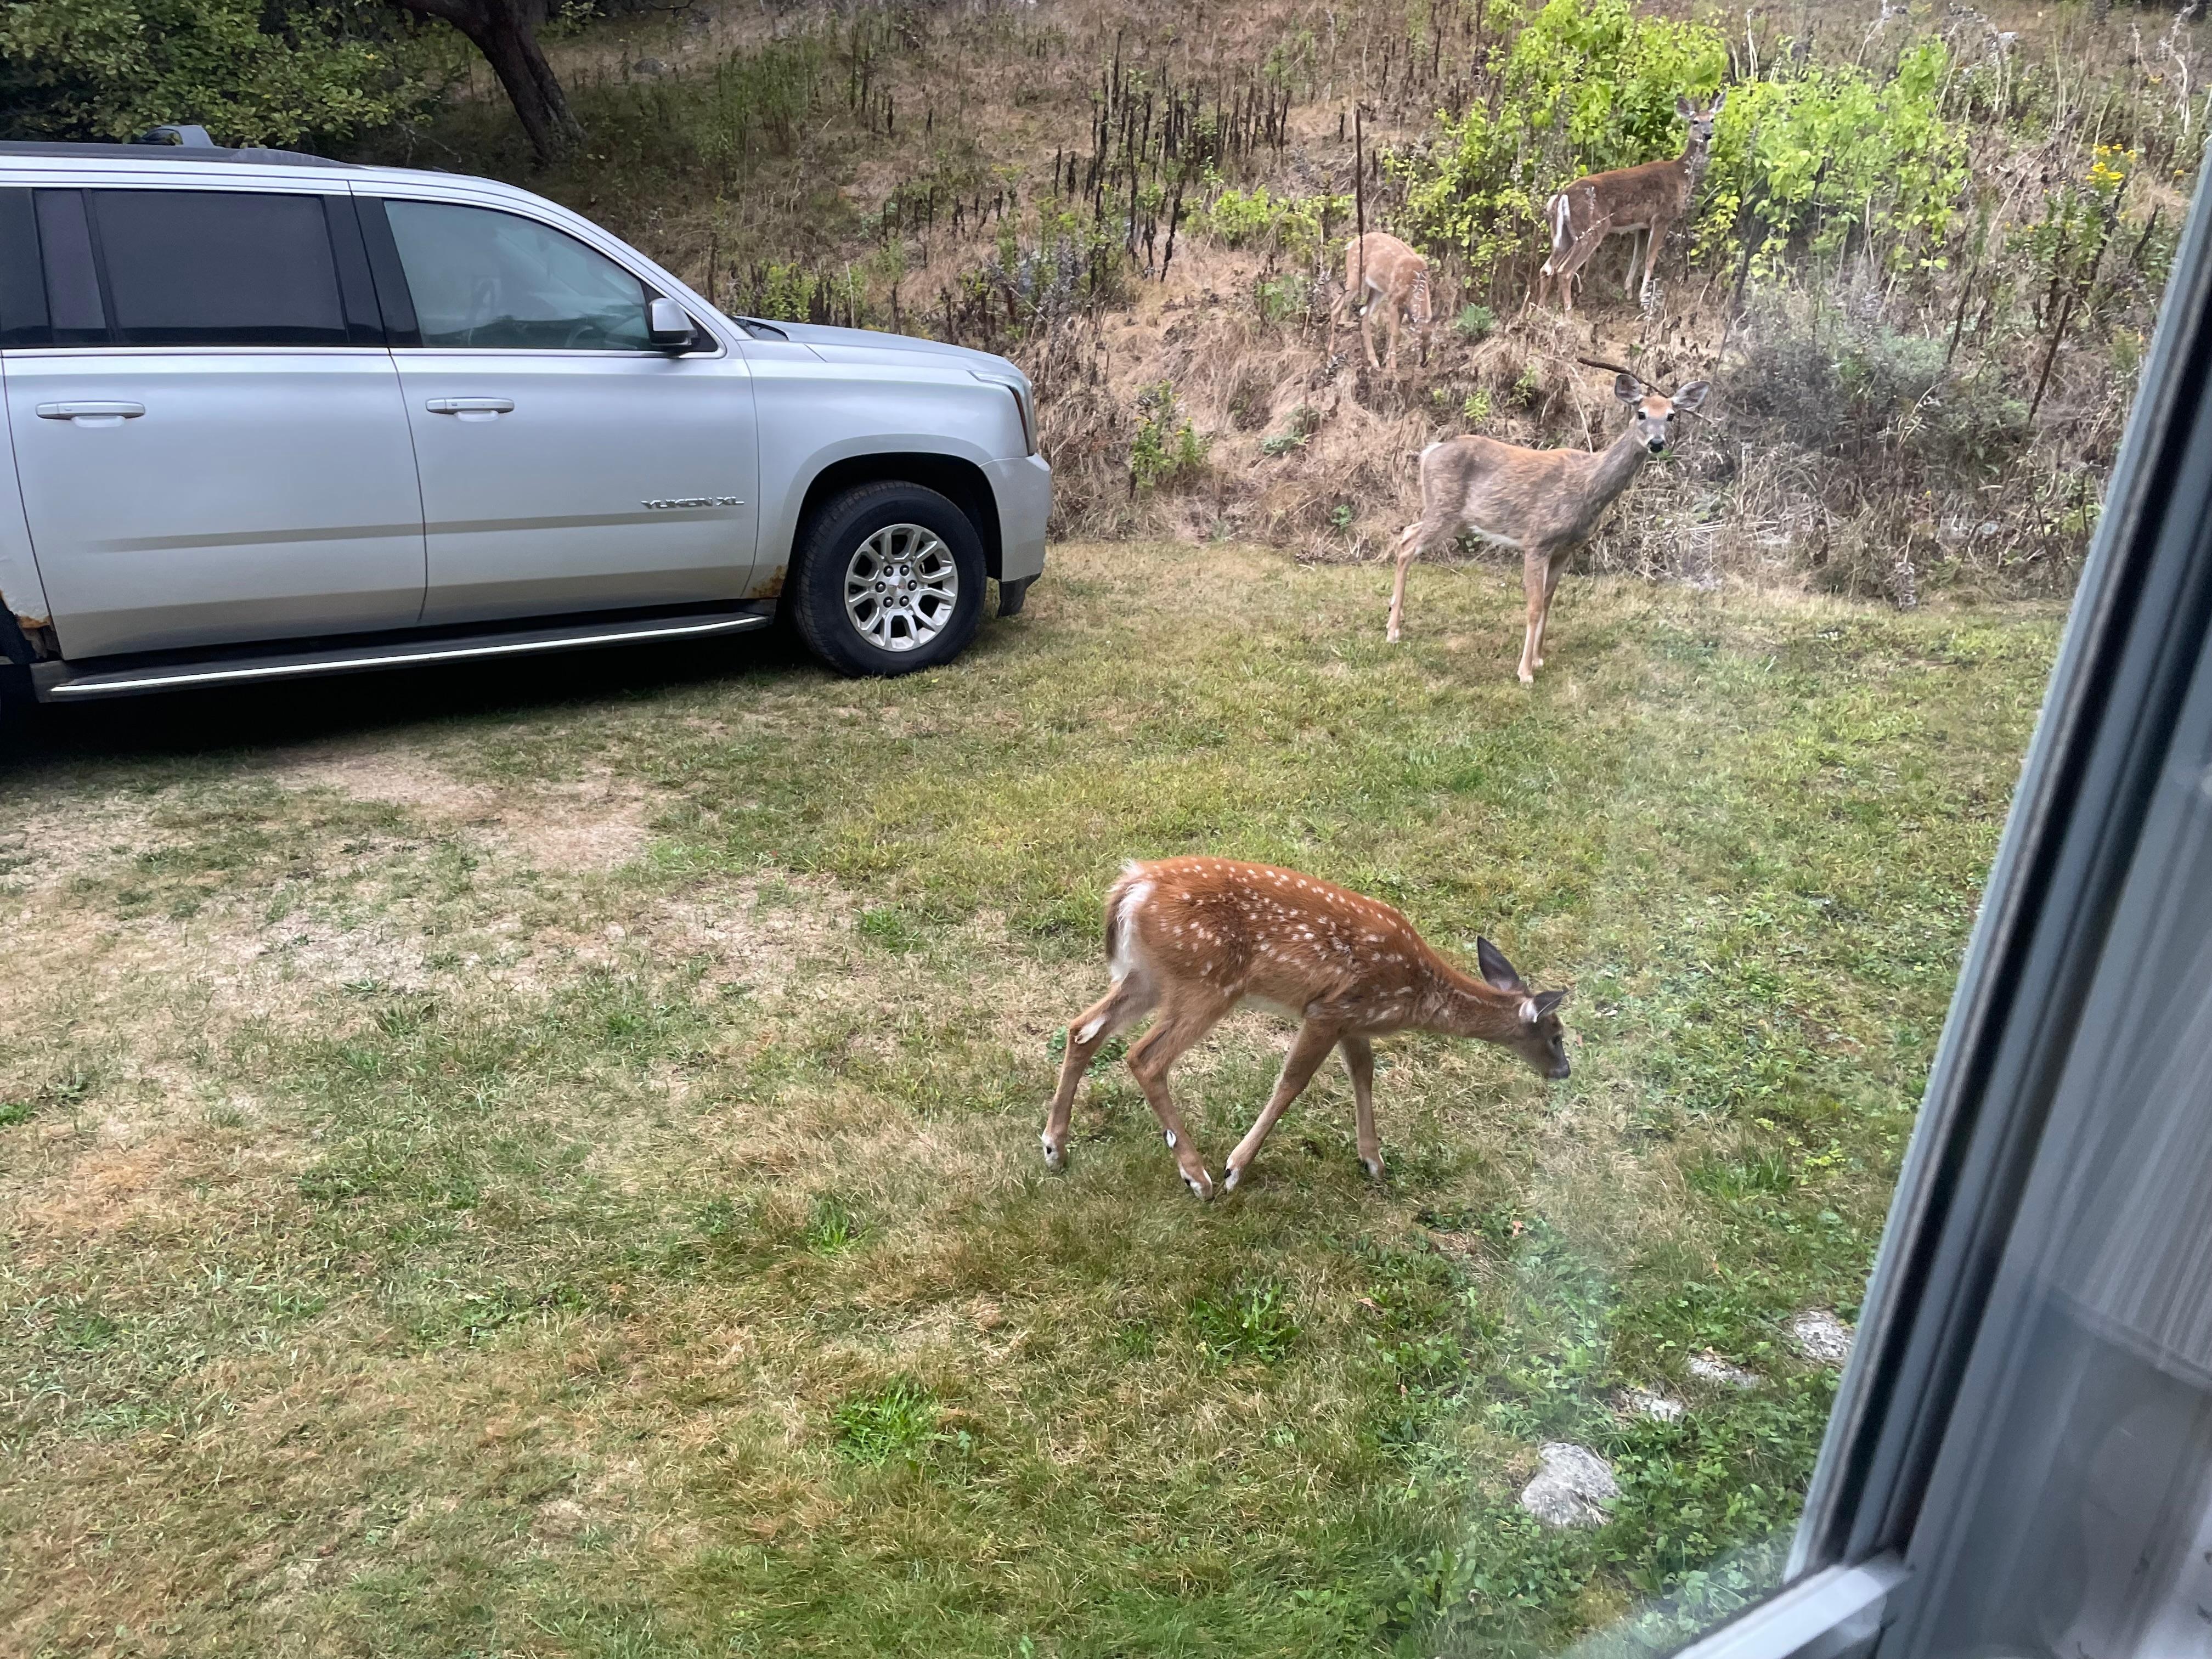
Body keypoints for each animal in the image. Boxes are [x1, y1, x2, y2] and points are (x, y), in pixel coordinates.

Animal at [1039, 857, 1570, 1200]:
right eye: (1557, 1035)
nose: (1564, 1071)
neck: (1418, 992)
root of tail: (1131, 888)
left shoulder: (1354, 1019)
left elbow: (1363, 1074)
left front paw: (1373, 1161)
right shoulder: (1327, 1011)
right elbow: (1293, 1081)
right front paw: (1236, 1168)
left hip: (1149, 976)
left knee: (1083, 1029)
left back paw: (1054, 1148)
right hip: (1207, 981)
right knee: (1145, 1057)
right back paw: (1199, 1178)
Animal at [1331, 231, 1432, 371]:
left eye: (1432, 342)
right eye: (1417, 341)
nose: (1424, 363)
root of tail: (1352, 243)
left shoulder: (1402, 305)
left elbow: (1396, 332)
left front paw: (1387, 361)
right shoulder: (1393, 299)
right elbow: (1396, 333)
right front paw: (1393, 368)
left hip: (1377, 289)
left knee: (1365, 314)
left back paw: (1375, 362)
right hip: (1355, 275)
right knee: (1335, 306)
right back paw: (1330, 355)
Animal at [1387, 360, 1709, 685]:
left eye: (1671, 415)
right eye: (1641, 413)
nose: (1657, 443)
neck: (1587, 489)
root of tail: (1429, 452)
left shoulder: (1566, 548)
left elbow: (1548, 601)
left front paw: (1539, 659)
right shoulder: (1537, 541)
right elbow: (1533, 606)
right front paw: (1525, 672)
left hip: (1455, 518)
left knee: (1407, 533)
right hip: (1444, 509)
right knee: (1408, 545)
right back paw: (1393, 631)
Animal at [1529, 92, 1725, 315]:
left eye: (1712, 120)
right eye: (1695, 121)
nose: (1708, 135)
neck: (1680, 175)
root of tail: (1562, 196)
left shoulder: (1642, 225)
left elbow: (1637, 256)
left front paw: (1629, 292)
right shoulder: (1663, 217)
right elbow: (1650, 260)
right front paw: (1644, 301)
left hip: (1563, 234)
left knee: (1547, 268)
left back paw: (1539, 311)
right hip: (1592, 228)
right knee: (1565, 271)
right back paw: (1569, 312)